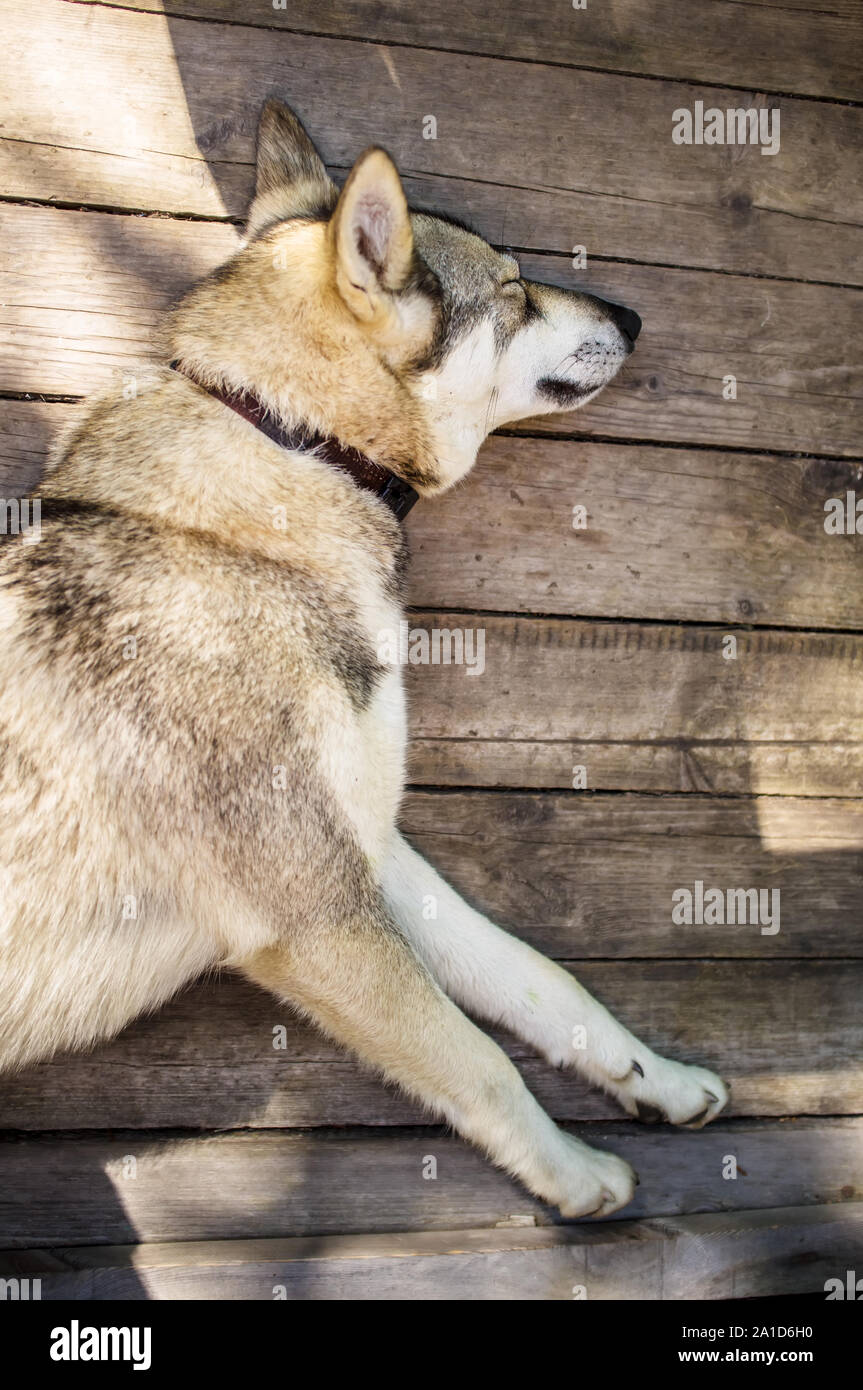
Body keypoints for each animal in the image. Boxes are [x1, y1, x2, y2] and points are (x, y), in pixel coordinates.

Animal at [0, 97, 722, 1217]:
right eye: (510, 290)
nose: (635, 316)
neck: (293, 443)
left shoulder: (369, 847)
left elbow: (537, 978)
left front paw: (662, 1079)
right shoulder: (318, 916)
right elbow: (478, 1059)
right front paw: (571, 1175)